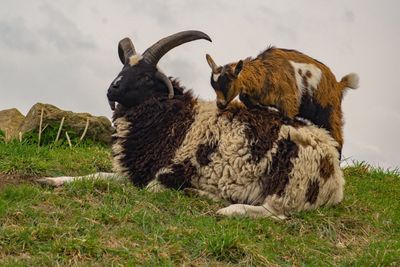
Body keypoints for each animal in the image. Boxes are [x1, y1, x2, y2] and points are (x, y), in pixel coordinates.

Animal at [39, 30, 344, 220]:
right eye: (123, 68)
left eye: (146, 76)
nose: (112, 89)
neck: (173, 118)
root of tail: (336, 179)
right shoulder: (137, 171)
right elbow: (97, 175)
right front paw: (52, 180)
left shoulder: (165, 174)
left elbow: (143, 188)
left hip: (290, 182)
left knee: (277, 213)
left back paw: (223, 207)